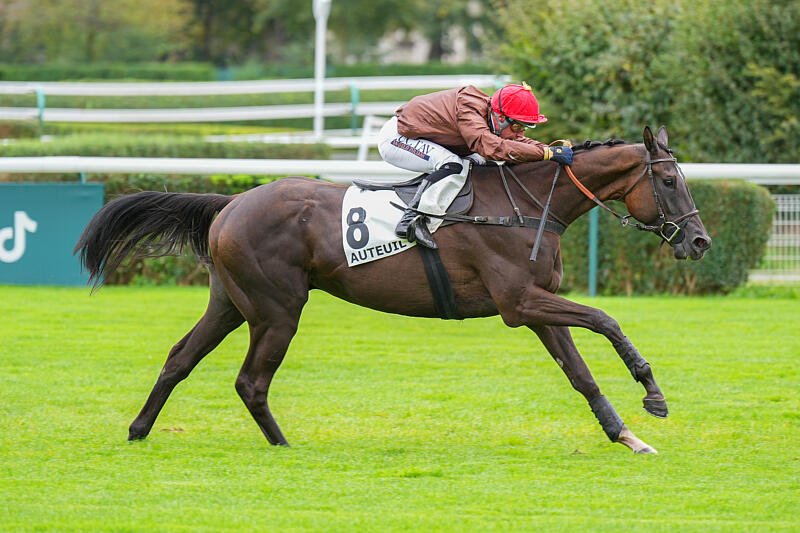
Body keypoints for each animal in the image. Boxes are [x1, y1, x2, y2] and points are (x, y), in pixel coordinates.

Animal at [75, 125, 711, 454]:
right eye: (668, 179)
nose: (700, 241)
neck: (527, 205)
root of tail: (231, 201)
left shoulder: (535, 307)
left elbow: (579, 374)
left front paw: (625, 434)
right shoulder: (518, 303)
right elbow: (605, 318)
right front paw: (652, 393)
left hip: (231, 301)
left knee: (179, 358)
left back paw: (138, 430)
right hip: (276, 309)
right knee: (250, 381)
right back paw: (283, 444)